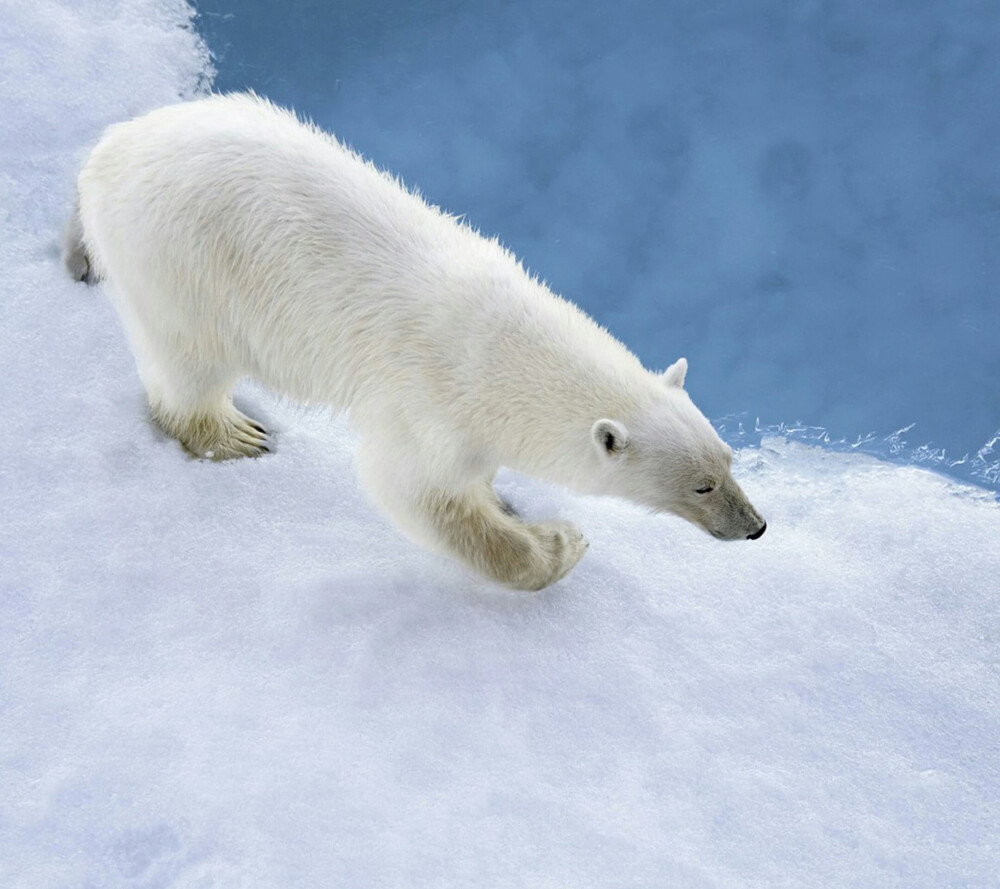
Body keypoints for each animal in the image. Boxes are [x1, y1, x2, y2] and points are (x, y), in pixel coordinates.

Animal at [68, 93, 764, 588]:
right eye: (701, 487)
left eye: (730, 459)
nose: (756, 527)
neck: (502, 351)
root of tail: (110, 150)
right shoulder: (433, 403)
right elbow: (416, 491)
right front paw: (558, 544)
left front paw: (503, 500)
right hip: (181, 267)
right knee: (189, 364)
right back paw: (234, 434)